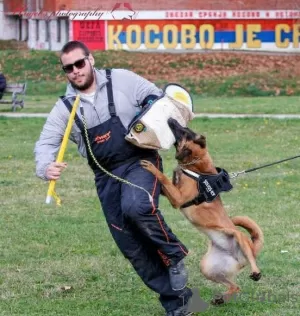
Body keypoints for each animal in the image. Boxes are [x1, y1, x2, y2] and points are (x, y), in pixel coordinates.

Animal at [140, 118, 262, 304]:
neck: (195, 167)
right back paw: (222, 298)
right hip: (207, 267)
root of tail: (239, 256)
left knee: (251, 258)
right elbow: (165, 185)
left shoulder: (178, 198)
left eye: (184, 131)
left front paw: (152, 168)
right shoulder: (173, 195)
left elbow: (164, 179)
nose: (171, 119)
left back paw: (256, 272)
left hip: (238, 237)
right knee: (235, 286)